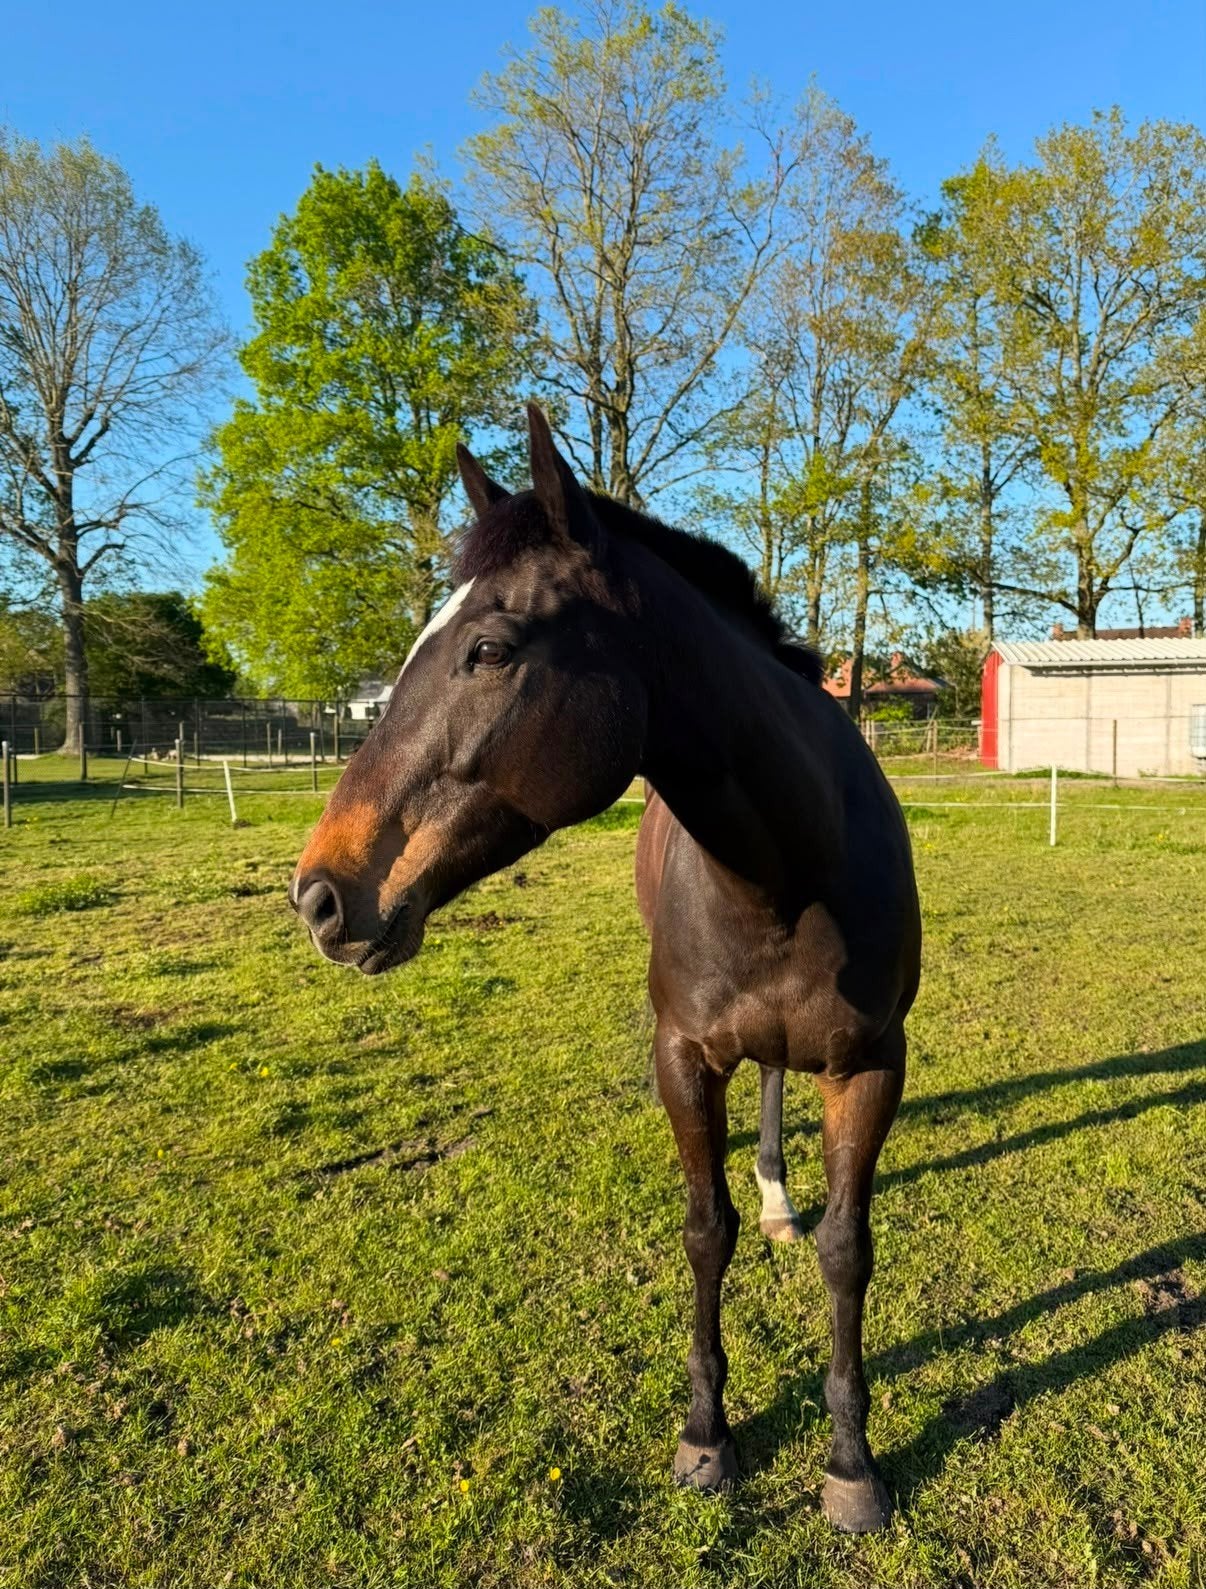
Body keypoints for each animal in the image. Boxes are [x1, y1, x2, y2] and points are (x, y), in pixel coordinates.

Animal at [289, 404, 921, 1532]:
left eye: (489, 648)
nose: (319, 894)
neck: (790, 868)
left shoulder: (870, 1068)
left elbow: (849, 1250)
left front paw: (852, 1465)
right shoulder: (684, 1057)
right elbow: (705, 1230)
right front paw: (707, 1436)